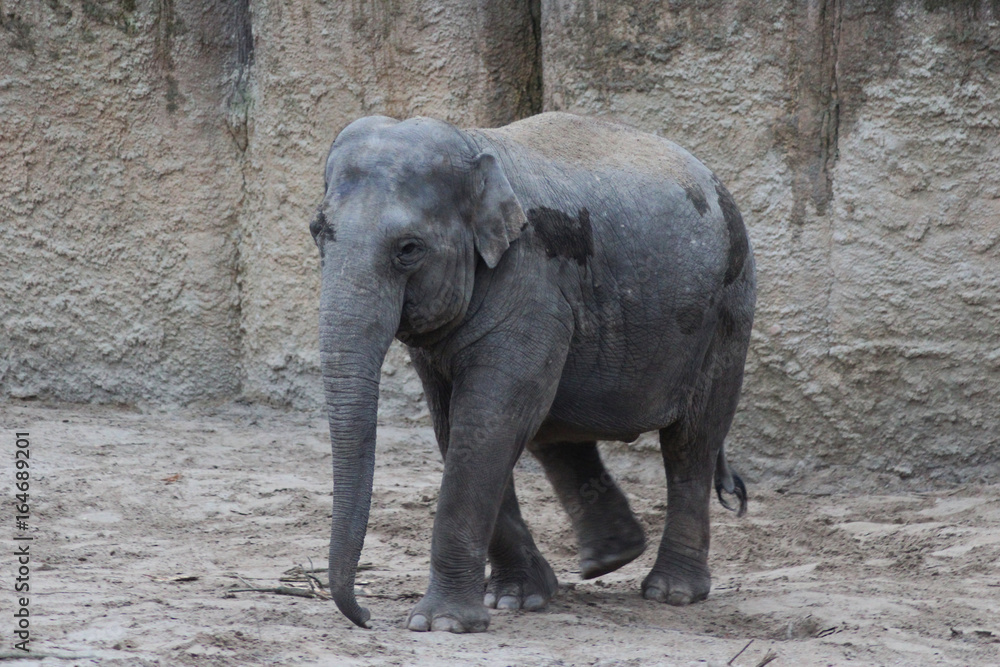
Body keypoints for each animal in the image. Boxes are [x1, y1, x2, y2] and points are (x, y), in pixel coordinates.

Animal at [311, 111, 755, 633]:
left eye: (408, 249)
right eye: (317, 231)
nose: (365, 616)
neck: (471, 145)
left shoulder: (532, 283)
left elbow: (487, 420)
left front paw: (442, 624)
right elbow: (459, 425)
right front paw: (514, 600)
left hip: (729, 306)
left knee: (692, 442)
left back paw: (672, 592)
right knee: (556, 429)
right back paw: (608, 559)